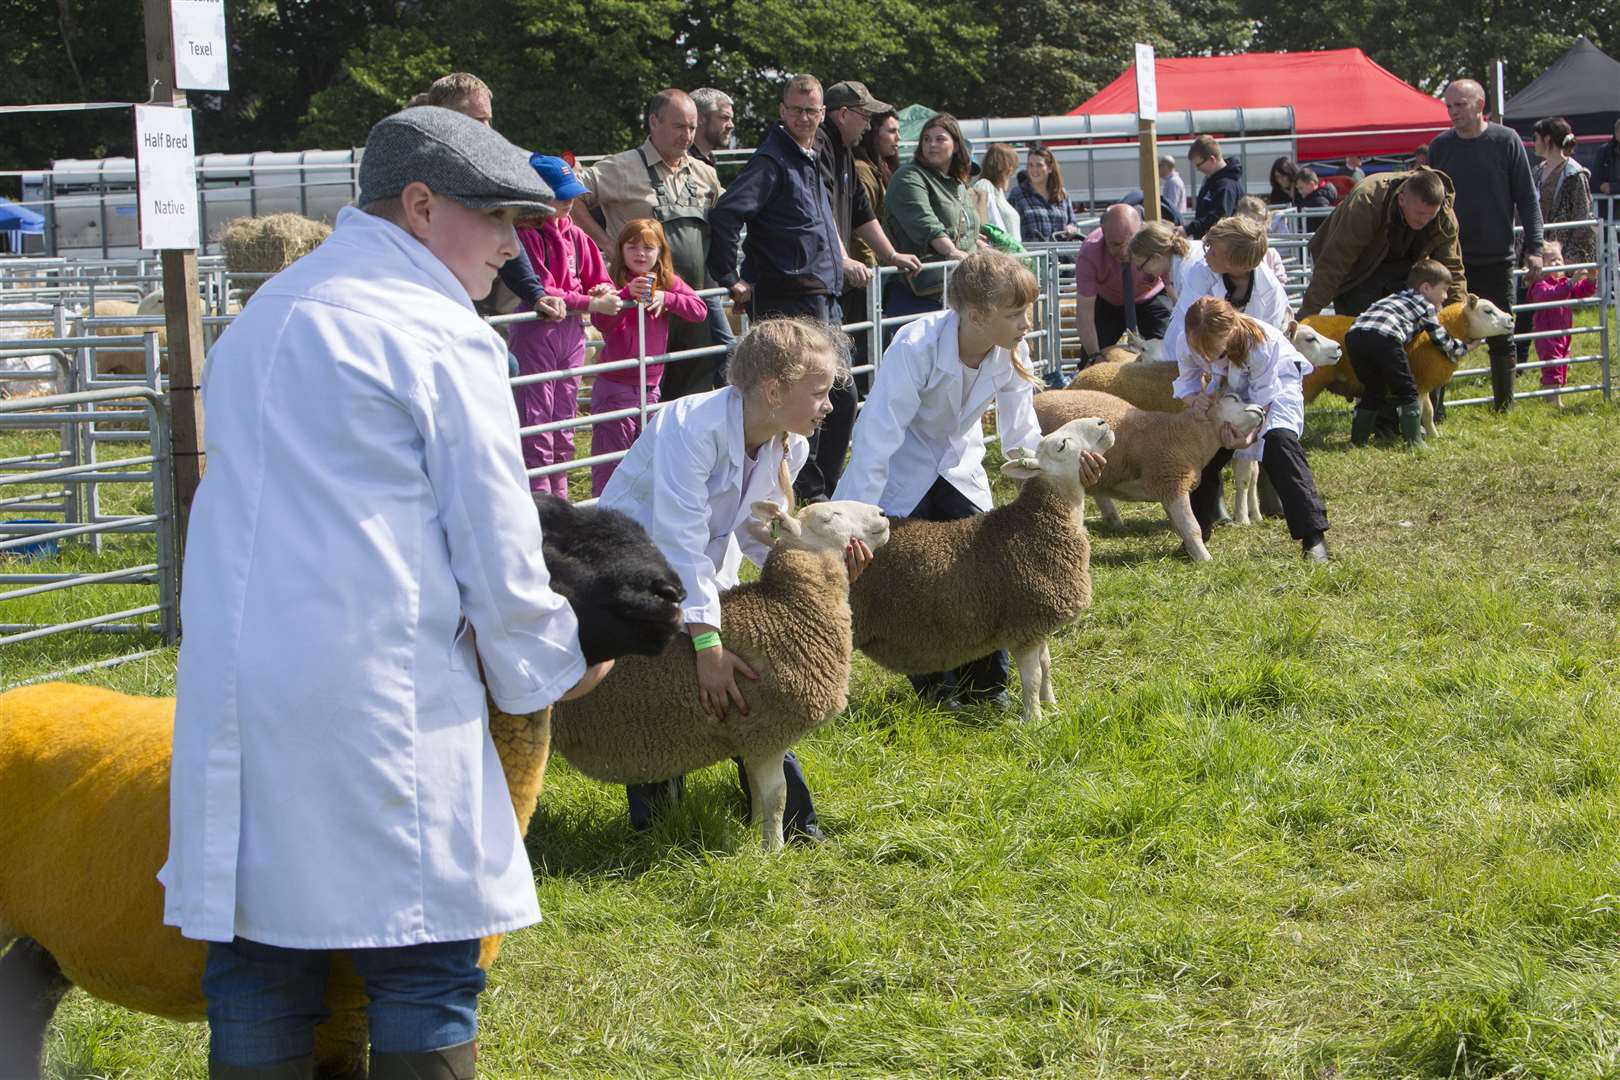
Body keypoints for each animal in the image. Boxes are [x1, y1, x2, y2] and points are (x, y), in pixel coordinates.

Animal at [0, 498, 683, 1080]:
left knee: (23, 999)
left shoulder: (350, 1002)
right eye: (545, 539)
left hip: (47, 931)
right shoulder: (337, 998)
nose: (671, 594)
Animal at [848, 417, 1114, 722]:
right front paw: (1034, 720)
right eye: (1061, 445)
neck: (1039, 523)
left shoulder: (1040, 622)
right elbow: (1033, 677)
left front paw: (1053, 708)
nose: (1102, 422)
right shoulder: (1024, 623)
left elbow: (1046, 667)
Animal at [1036, 388, 1263, 563]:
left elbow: (1181, 525)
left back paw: (1114, 520)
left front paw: (1189, 550)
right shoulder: (1172, 480)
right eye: (1232, 397)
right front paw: (1205, 559)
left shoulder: (1168, 485)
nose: (1261, 409)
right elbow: (1192, 526)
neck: (1184, 434)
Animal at [1296, 296, 1509, 440]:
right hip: (1308, 381)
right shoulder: (1420, 383)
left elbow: (1424, 411)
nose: (1510, 319)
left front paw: (1431, 435)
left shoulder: (1421, 384)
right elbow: (1423, 412)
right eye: (1487, 311)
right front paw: (1426, 438)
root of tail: (1300, 324)